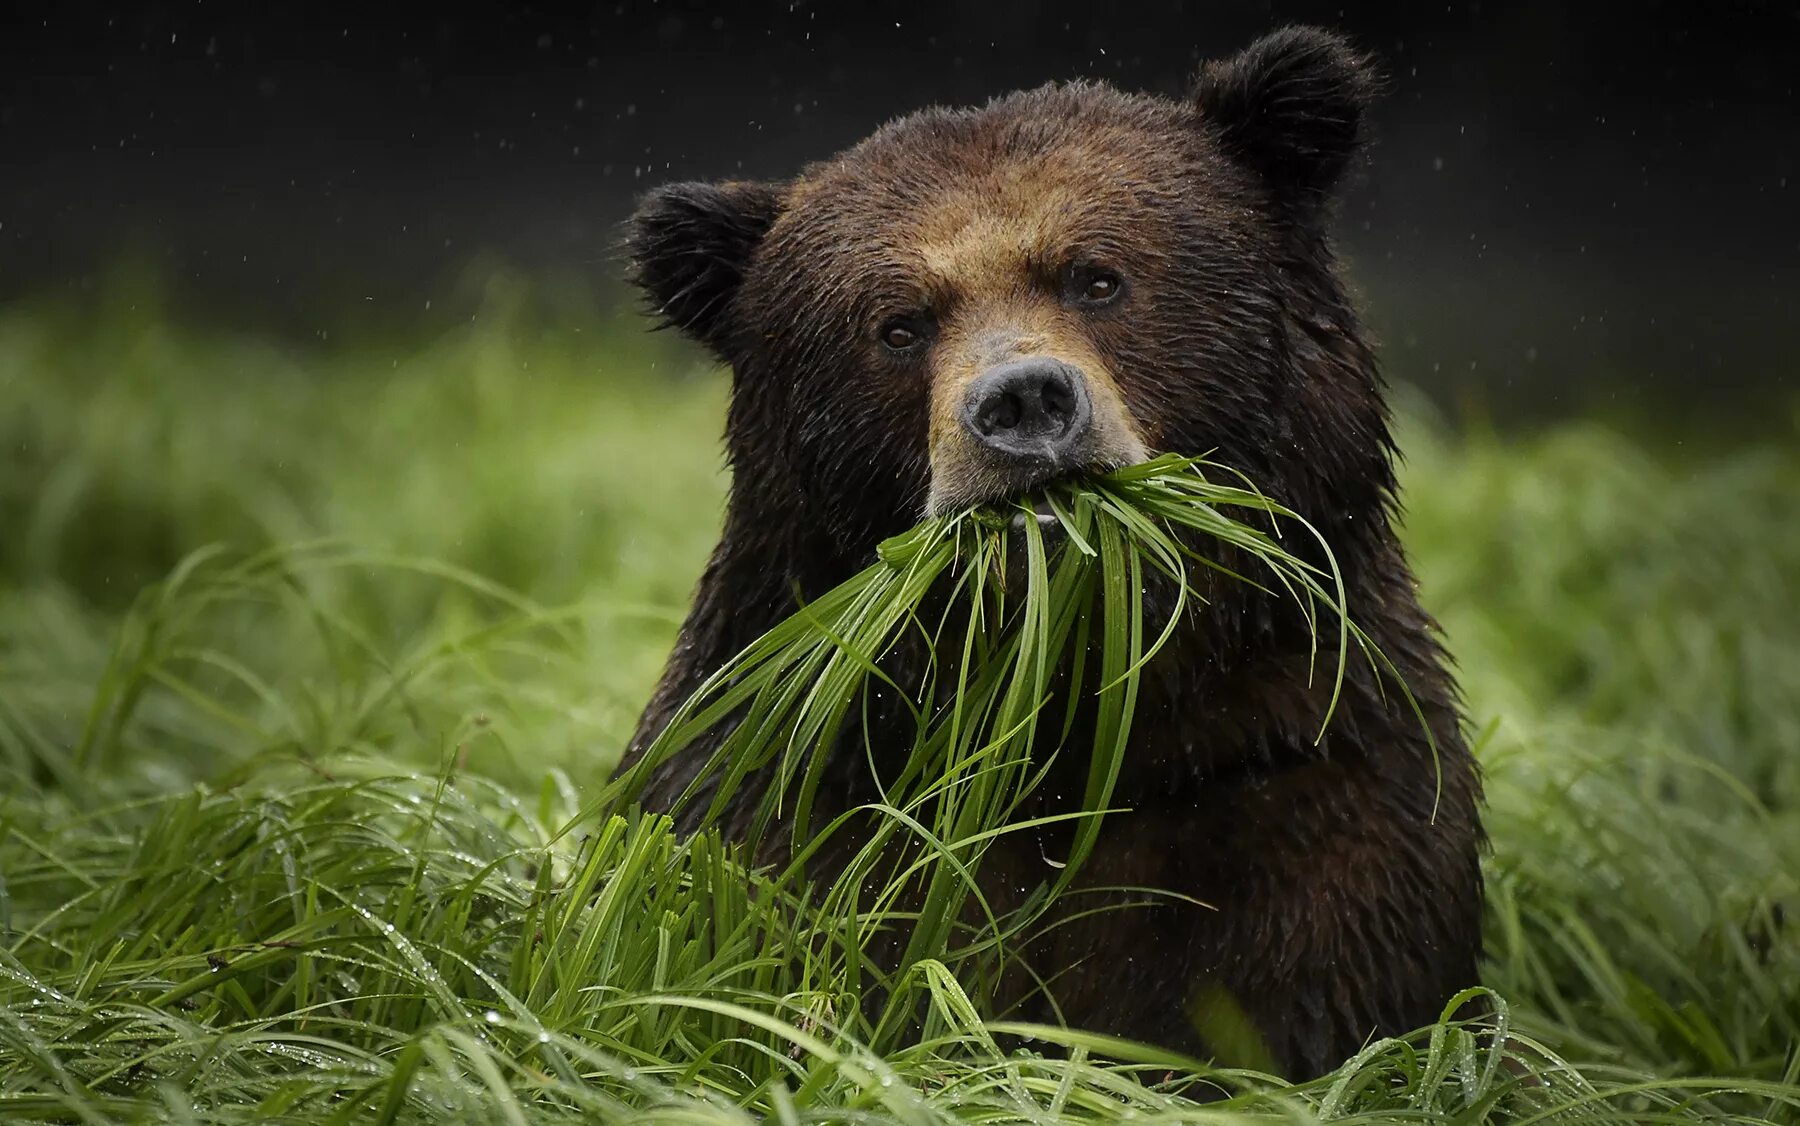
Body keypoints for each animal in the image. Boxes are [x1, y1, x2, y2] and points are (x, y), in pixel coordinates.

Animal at [612, 26, 1483, 1079]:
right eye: (898, 323)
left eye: (1096, 275)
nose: (1023, 403)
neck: (1073, 717)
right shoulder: (796, 795)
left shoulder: (1303, 785)